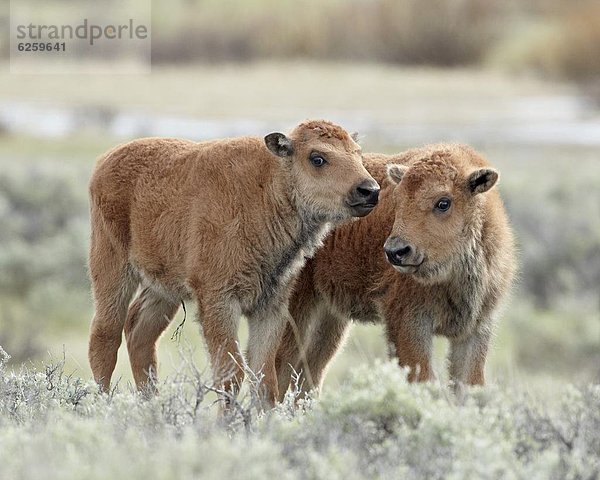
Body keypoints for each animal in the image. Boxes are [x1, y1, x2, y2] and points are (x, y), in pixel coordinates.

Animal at [88, 121, 380, 404]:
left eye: (357, 153)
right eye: (317, 158)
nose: (370, 190)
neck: (270, 188)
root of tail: (104, 161)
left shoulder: (271, 307)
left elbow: (265, 380)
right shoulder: (220, 302)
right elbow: (231, 375)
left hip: (164, 287)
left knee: (140, 334)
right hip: (112, 267)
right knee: (105, 337)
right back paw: (103, 403)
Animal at [276, 143, 516, 398]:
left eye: (444, 202)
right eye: (398, 199)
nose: (395, 251)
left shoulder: (476, 329)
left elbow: (469, 385)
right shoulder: (409, 322)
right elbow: (422, 379)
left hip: (331, 316)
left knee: (310, 370)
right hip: (296, 306)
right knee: (280, 365)